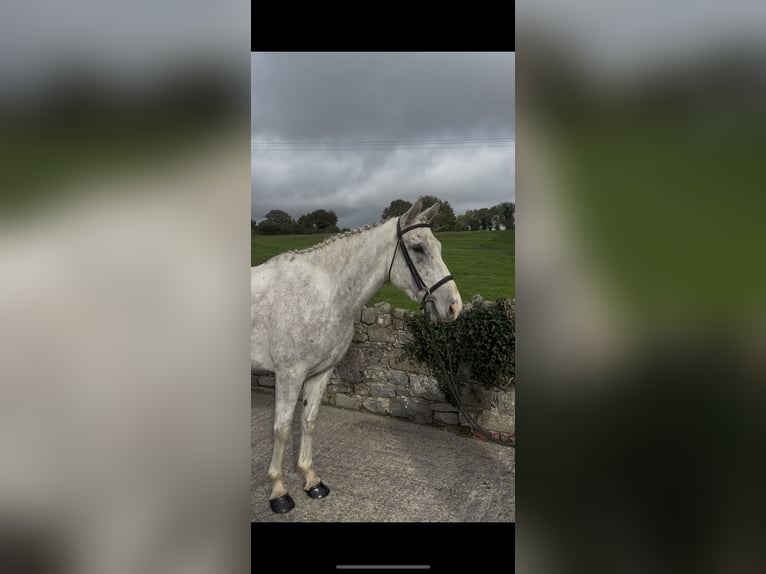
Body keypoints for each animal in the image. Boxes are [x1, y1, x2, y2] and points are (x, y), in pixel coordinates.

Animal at [251, 199, 463, 513]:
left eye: (437, 245)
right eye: (418, 248)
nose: (454, 306)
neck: (323, 295)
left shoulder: (320, 372)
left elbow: (309, 421)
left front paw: (311, 480)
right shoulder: (289, 375)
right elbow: (282, 429)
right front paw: (278, 492)